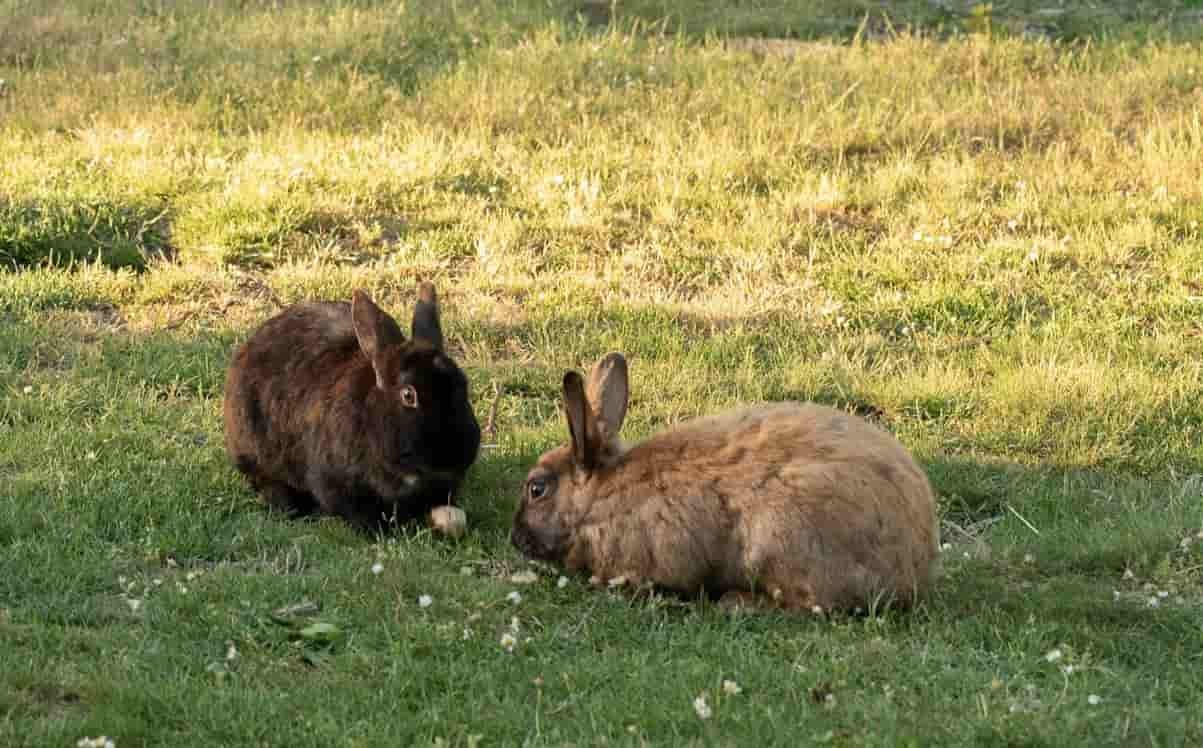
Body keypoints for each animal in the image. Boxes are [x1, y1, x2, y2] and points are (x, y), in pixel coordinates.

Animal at [511, 353, 940, 612]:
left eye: (536, 489)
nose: (516, 540)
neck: (598, 496)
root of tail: (915, 565)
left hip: (780, 541)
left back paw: (735, 602)